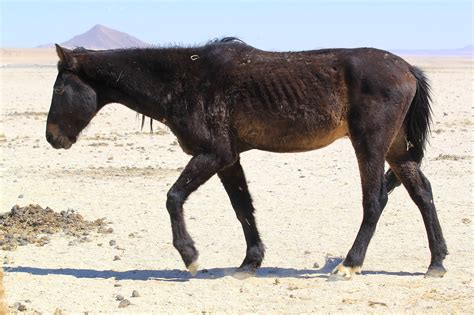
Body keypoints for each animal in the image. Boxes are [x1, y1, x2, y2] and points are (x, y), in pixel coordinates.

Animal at [45, 37, 448, 282]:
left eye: (60, 89)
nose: (52, 137)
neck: (183, 79)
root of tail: (409, 69)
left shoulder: (214, 154)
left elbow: (173, 197)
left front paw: (190, 256)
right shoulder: (228, 159)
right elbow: (243, 208)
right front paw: (250, 262)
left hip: (370, 144)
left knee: (375, 200)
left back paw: (351, 264)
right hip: (396, 150)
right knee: (422, 193)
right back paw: (437, 262)